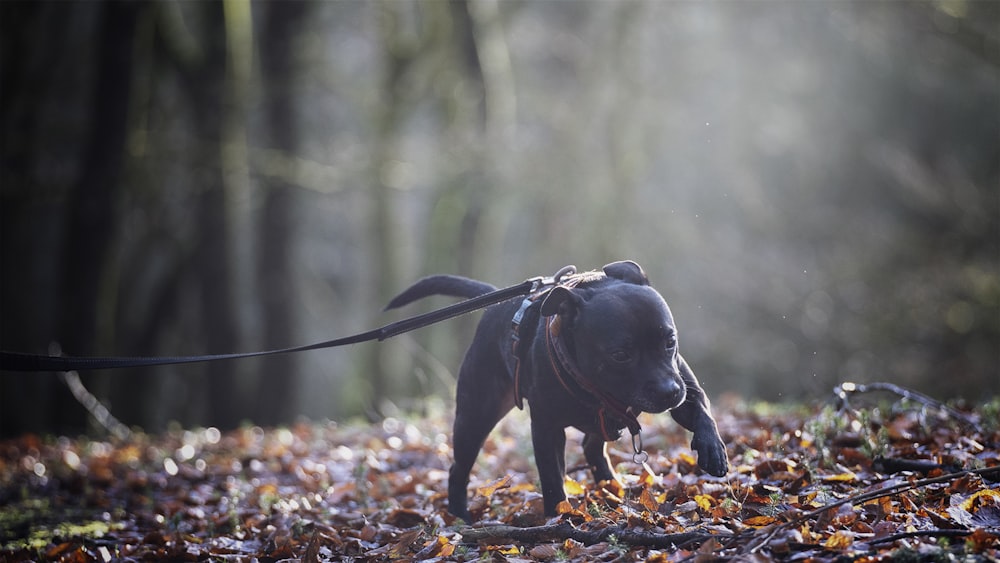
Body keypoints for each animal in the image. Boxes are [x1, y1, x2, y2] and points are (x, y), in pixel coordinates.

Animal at [386, 260, 732, 520]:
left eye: (669, 341)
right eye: (620, 354)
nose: (668, 391)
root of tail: (496, 302)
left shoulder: (685, 387)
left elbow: (702, 412)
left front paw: (713, 449)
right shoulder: (546, 428)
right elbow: (552, 477)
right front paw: (559, 518)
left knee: (593, 447)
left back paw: (612, 486)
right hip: (475, 416)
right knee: (459, 468)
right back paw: (460, 517)